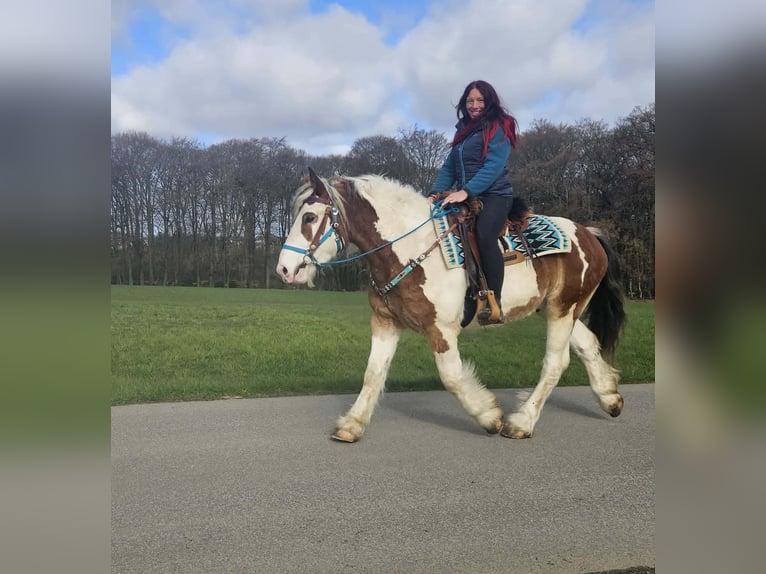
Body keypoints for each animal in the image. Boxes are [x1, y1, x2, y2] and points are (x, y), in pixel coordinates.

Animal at [276, 168, 626, 443]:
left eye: (309, 217)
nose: (285, 269)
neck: (409, 248)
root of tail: (588, 233)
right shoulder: (385, 322)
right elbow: (373, 373)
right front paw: (352, 424)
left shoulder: (441, 329)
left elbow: (452, 377)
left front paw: (489, 415)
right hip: (560, 309)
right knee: (587, 344)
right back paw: (609, 397)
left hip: (562, 310)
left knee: (555, 362)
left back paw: (522, 422)